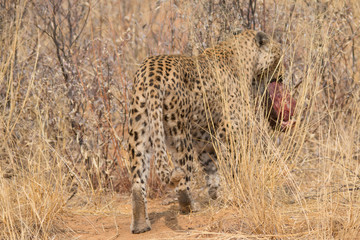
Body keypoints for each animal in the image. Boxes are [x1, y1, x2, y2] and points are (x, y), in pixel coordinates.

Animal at [128, 29, 282, 233]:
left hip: (139, 131)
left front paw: (216, 193)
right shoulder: (230, 128)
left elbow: (211, 165)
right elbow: (234, 162)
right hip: (179, 134)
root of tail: (151, 75)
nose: (281, 77)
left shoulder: (203, 138)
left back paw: (140, 225)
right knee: (182, 180)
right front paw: (235, 186)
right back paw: (189, 206)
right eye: (278, 57)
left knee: (138, 183)